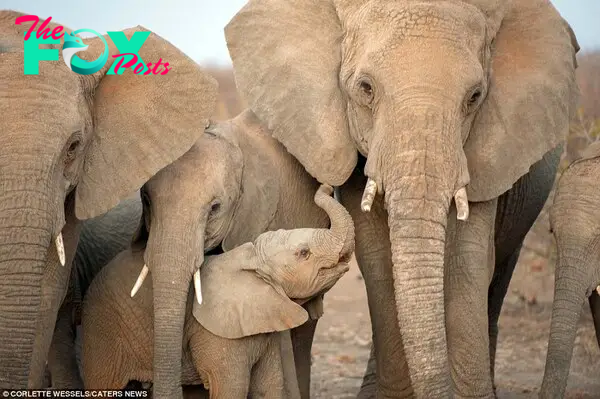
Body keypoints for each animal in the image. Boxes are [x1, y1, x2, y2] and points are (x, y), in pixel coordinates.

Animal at [81, 185, 354, 399]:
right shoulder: (217, 335)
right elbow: (231, 389)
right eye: (303, 253)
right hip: (102, 330)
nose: (327, 186)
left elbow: (269, 387)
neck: (250, 257)